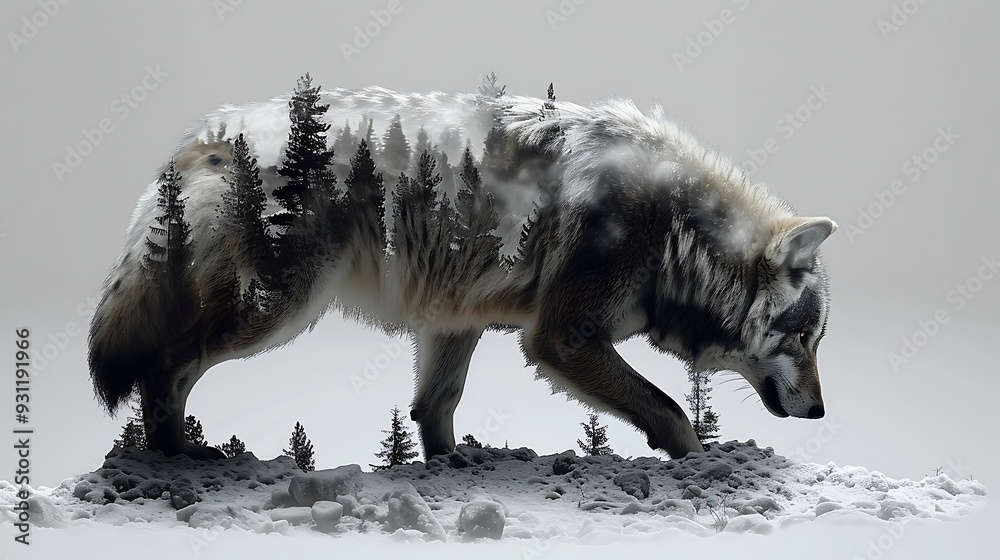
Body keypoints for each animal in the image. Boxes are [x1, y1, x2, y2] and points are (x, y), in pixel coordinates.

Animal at [88, 78, 836, 461]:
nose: (824, 411)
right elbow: (673, 410)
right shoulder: (561, 338)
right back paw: (178, 461)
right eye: (802, 337)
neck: (674, 228)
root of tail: (204, 135)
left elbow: (435, 409)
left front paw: (449, 472)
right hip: (278, 312)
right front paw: (698, 467)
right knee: (167, 368)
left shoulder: (456, 321)